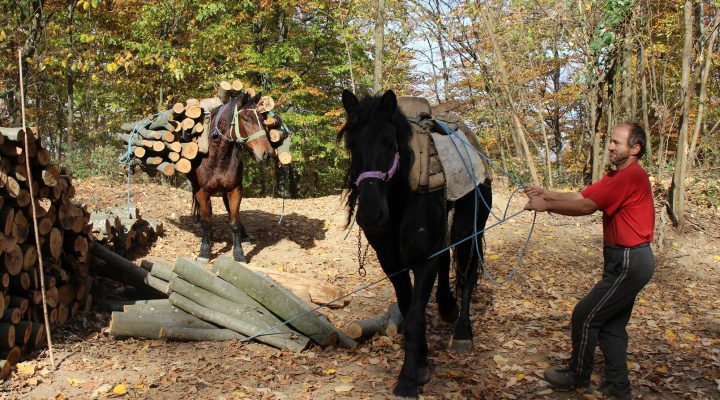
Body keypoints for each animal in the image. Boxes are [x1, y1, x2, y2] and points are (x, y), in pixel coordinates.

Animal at [187, 90, 274, 262]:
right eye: (246, 118)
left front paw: (239, 253)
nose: (268, 154)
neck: (216, 156)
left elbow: (234, 222)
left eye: (262, 119)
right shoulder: (202, 191)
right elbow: (206, 221)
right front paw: (204, 251)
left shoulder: (235, 190)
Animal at [340, 89, 492, 398]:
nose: (371, 215)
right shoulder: (391, 263)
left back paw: (462, 333)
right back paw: (447, 306)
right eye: (351, 144)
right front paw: (421, 364)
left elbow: (414, 317)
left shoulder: (424, 259)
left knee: (467, 274)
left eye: (390, 143)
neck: (399, 199)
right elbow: (408, 306)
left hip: (468, 229)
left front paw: (408, 379)